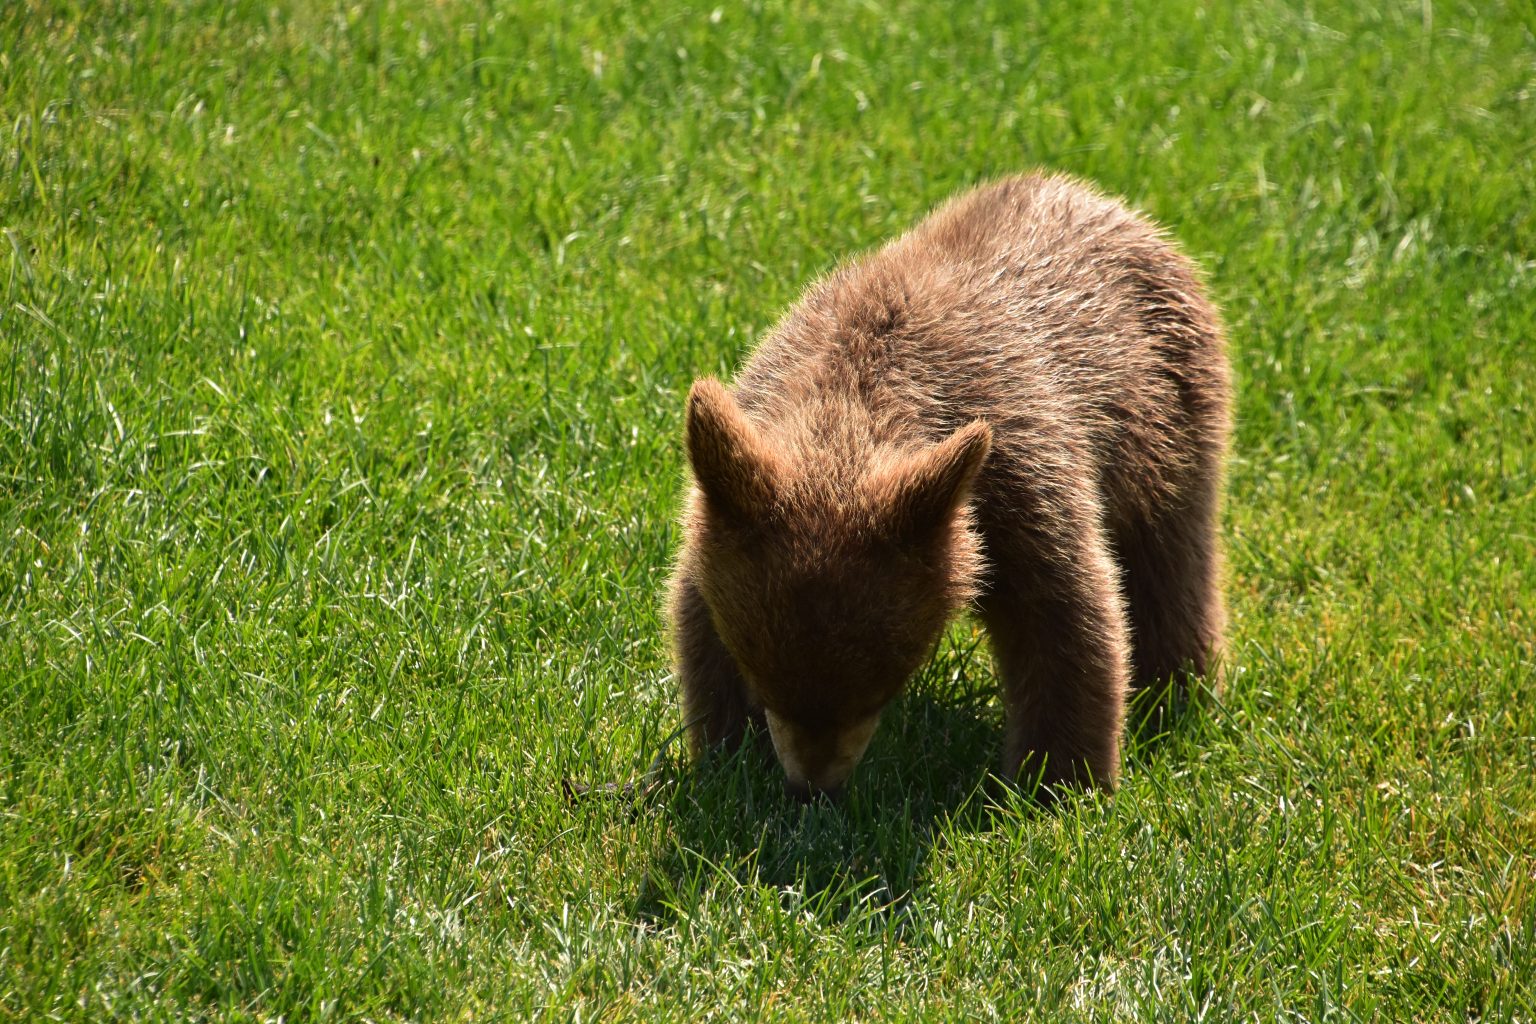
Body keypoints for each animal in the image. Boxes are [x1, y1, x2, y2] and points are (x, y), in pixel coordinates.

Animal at [667, 172, 1231, 801]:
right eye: (762, 674)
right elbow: (696, 608)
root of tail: (1100, 200)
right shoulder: (736, 472)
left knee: (1169, 562)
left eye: (880, 682)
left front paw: (1058, 784)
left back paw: (1175, 688)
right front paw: (729, 756)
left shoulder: (1020, 476)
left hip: (1169, 430)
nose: (813, 785)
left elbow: (1067, 617)